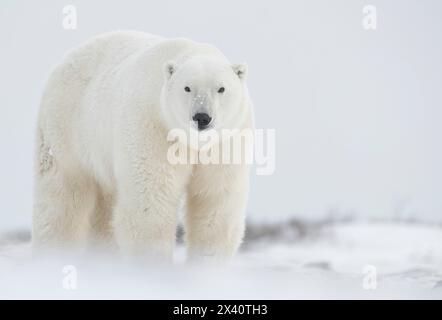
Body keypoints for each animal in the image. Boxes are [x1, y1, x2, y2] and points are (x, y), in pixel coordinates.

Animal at [32, 31, 254, 262]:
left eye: (221, 88)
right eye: (187, 87)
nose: (202, 117)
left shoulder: (226, 142)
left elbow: (216, 203)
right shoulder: (153, 127)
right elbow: (150, 205)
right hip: (66, 128)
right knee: (61, 198)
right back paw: (53, 253)